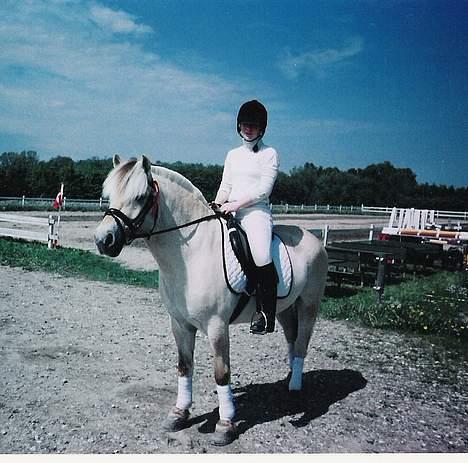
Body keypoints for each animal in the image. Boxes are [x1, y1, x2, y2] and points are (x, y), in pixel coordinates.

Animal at [94, 156, 328, 446]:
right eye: (109, 195)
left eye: (139, 197)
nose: (103, 240)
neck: (192, 255)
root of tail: (313, 239)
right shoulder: (180, 324)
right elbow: (184, 366)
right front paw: (178, 414)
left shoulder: (217, 326)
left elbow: (221, 372)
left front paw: (225, 426)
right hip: (284, 308)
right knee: (291, 338)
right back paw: (288, 380)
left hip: (309, 304)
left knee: (302, 343)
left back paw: (295, 389)